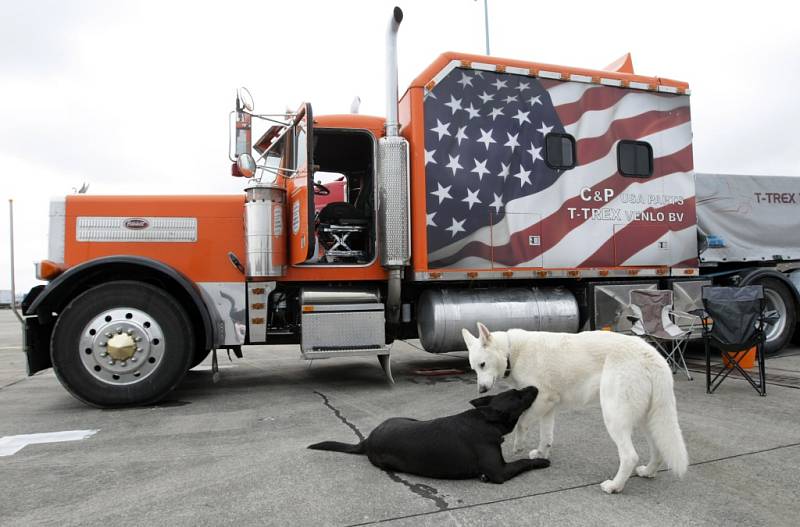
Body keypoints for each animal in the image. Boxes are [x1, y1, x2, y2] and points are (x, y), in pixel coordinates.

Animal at [306, 388, 552, 482]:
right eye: (518, 396)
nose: (535, 387)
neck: (484, 421)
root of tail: (368, 440)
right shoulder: (499, 472)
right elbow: (522, 462)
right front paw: (541, 461)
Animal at [462, 322, 688, 496]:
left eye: (483, 365)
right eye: (474, 368)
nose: (481, 390)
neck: (512, 351)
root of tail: (653, 356)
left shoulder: (541, 399)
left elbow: (522, 423)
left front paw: (519, 446)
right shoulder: (548, 407)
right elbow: (546, 436)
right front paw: (542, 454)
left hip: (614, 417)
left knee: (629, 456)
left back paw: (615, 486)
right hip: (646, 419)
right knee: (658, 449)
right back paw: (648, 472)